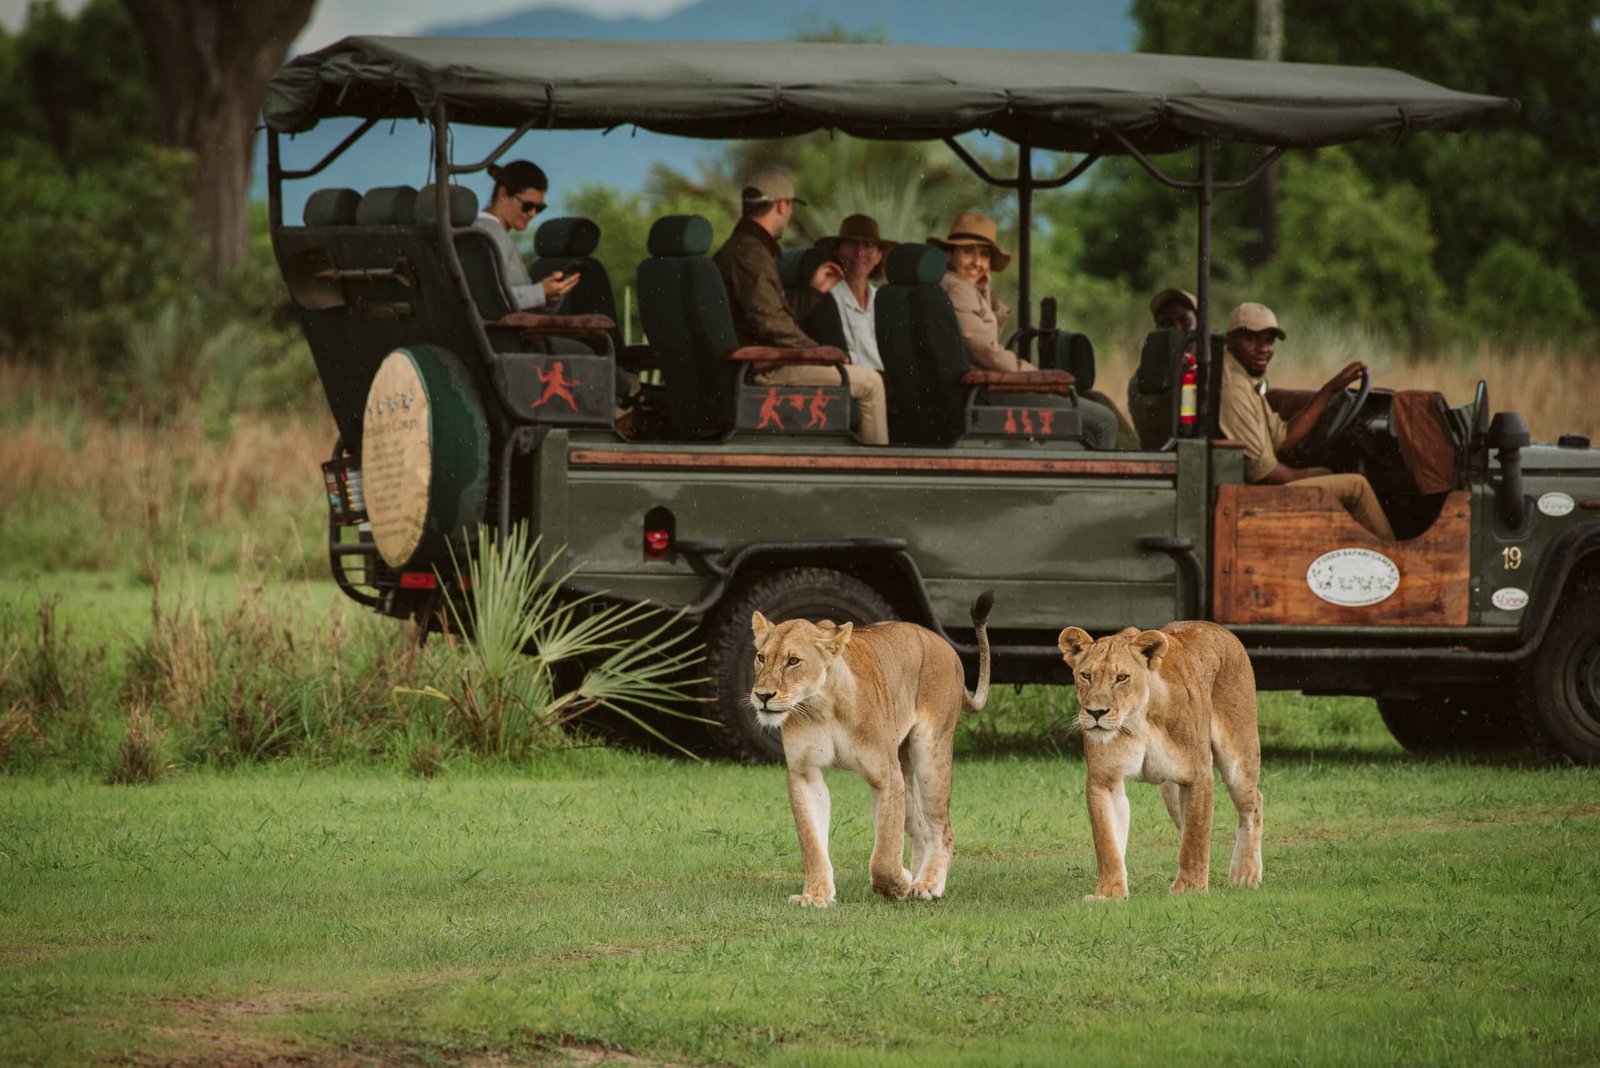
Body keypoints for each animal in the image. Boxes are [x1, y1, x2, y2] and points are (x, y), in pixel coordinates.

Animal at [749, 592, 993, 907]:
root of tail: (943, 643)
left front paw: (898, 884)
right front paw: (815, 895)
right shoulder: (804, 773)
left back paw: (927, 884)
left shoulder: (886, 775)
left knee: (942, 829)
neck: (822, 706)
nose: (762, 696)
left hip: (930, 754)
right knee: (921, 829)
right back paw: (918, 877)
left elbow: (885, 852)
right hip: (906, 769)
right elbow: (811, 841)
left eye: (793, 661)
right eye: (761, 657)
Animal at [1056, 621, 1263, 900]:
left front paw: (1190, 888)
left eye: (1122, 678)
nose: (1096, 712)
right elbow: (1107, 842)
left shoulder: (1197, 775)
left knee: (1253, 804)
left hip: (1239, 760)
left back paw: (1245, 874)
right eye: (1086, 675)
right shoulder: (1104, 779)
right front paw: (1109, 893)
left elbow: (1196, 838)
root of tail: (1219, 628)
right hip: (1171, 791)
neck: (1136, 719)